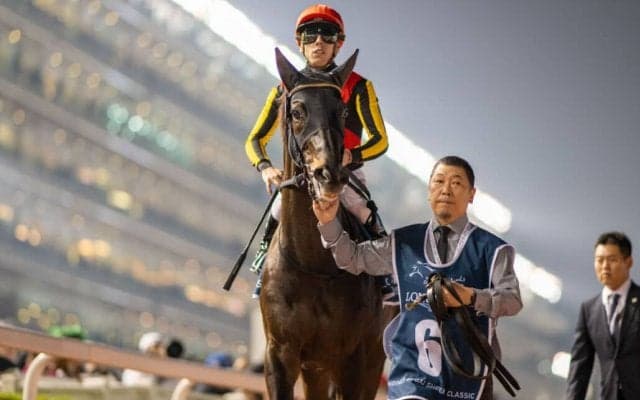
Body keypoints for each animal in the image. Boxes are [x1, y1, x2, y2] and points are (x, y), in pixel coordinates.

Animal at [258, 48, 392, 400]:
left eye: (342, 111)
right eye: (297, 111)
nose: (329, 174)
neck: (313, 263)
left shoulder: (353, 359)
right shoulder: (281, 354)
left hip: (371, 359)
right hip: (315, 367)